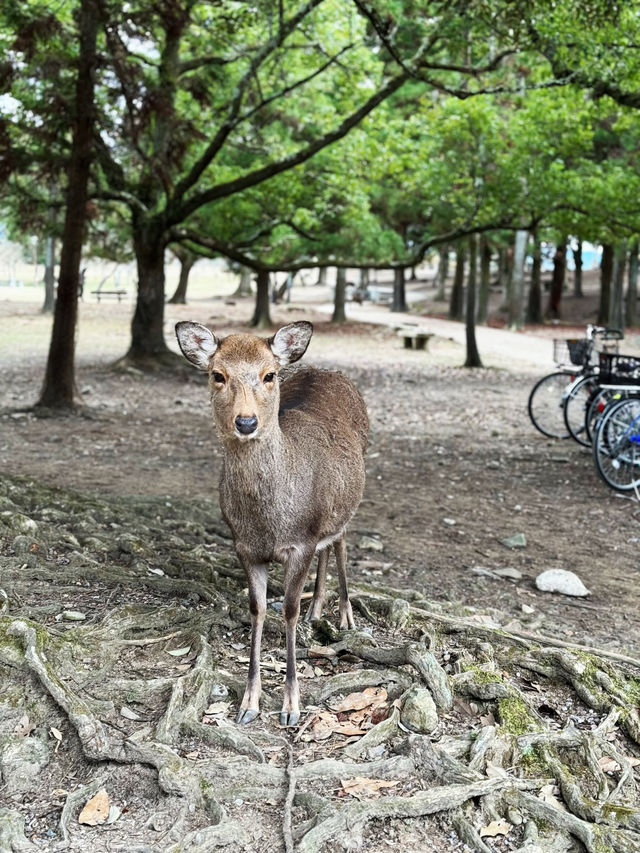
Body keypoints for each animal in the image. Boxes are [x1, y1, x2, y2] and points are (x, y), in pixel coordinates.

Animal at [174, 322, 370, 724]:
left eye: (269, 375)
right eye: (218, 375)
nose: (246, 422)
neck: (272, 522)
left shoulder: (301, 543)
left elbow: (289, 610)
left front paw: (291, 705)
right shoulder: (244, 546)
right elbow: (258, 609)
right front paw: (249, 702)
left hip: (349, 499)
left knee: (341, 540)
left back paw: (344, 615)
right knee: (328, 546)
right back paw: (317, 610)